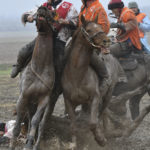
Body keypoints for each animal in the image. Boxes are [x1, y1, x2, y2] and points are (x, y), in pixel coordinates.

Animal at [10, 6, 55, 150]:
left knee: (31, 118)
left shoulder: (44, 99)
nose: (42, 8)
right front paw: (13, 144)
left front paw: (30, 143)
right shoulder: (23, 97)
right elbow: (18, 123)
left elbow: (35, 120)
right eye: (34, 14)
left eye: (51, 12)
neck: (40, 66)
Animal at [61, 15, 123, 149]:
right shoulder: (69, 102)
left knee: (102, 112)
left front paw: (100, 140)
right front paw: (73, 144)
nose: (107, 41)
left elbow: (93, 123)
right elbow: (73, 126)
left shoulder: (95, 98)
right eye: (89, 30)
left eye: (100, 27)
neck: (77, 75)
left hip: (108, 94)